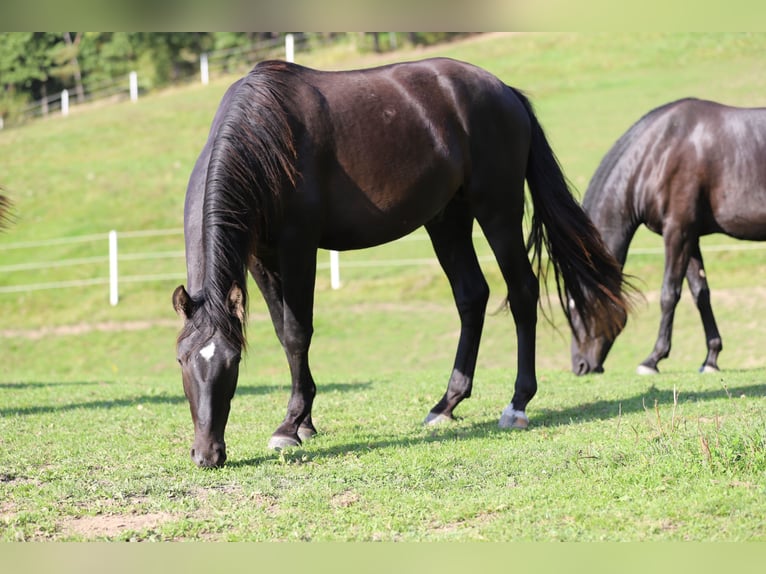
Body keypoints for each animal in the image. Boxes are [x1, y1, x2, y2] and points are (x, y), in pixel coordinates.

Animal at [172, 58, 631, 468]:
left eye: (232, 363)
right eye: (182, 360)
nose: (207, 455)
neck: (264, 136)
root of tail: (505, 91)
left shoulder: (298, 247)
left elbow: (299, 332)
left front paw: (290, 426)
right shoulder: (260, 258)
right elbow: (285, 335)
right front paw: (304, 422)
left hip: (498, 210)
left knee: (521, 291)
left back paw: (517, 404)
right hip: (447, 219)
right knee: (472, 296)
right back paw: (446, 404)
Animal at [570, 98, 766, 376]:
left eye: (578, 308)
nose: (580, 366)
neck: (657, 154)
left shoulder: (677, 232)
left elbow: (669, 293)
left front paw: (652, 359)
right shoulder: (691, 237)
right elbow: (700, 294)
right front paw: (711, 359)